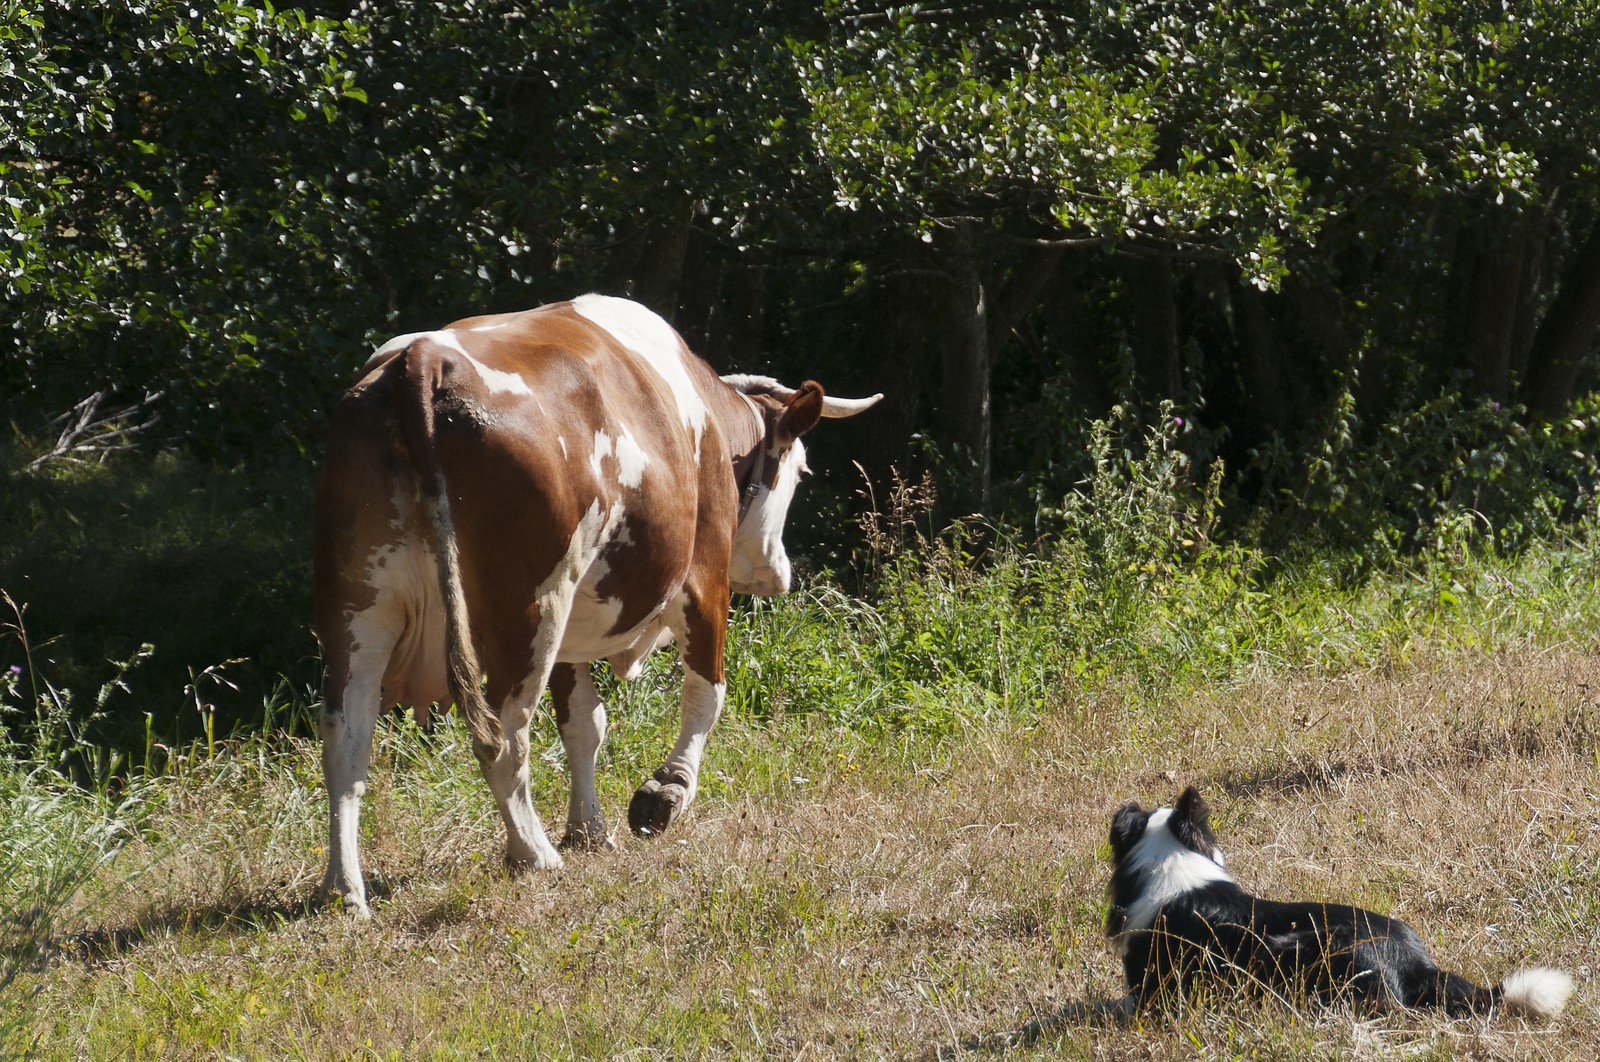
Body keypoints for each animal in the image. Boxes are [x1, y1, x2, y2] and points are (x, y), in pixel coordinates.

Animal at [312, 294, 881, 916]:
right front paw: (666, 793)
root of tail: (423, 359)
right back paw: (532, 853)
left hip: (360, 609)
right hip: (529, 607)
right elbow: (707, 694)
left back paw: (343, 891)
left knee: (346, 738)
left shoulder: (573, 627)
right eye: (800, 471)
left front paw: (588, 829)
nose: (780, 572)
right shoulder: (704, 578)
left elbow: (584, 723)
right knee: (503, 737)